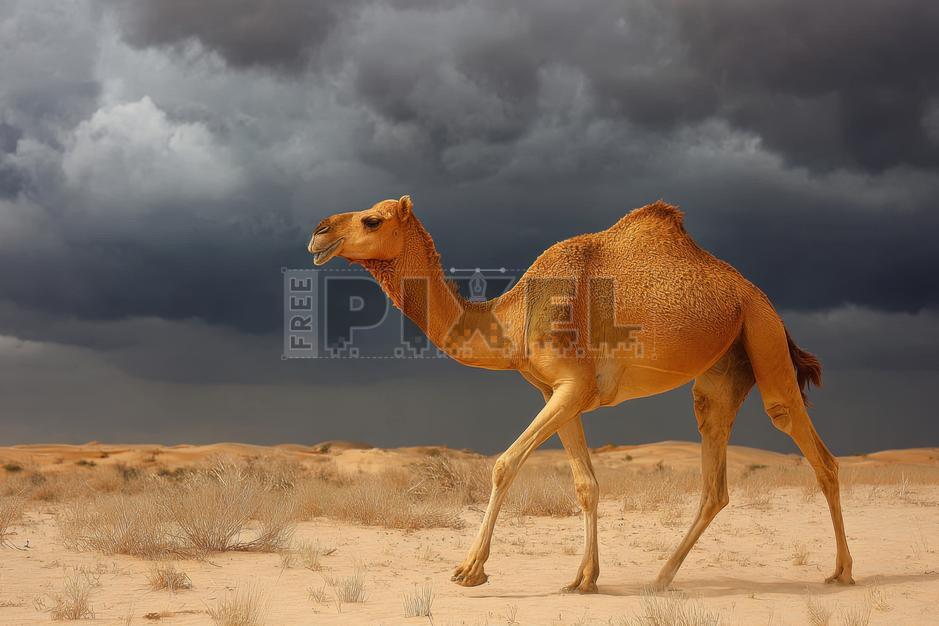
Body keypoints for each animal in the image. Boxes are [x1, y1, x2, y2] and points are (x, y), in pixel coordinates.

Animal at [308, 195, 854, 593]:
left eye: (371, 219)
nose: (319, 230)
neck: (512, 319)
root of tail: (758, 296)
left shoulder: (573, 386)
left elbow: (504, 464)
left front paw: (469, 570)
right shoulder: (559, 393)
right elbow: (586, 483)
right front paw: (584, 578)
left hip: (762, 332)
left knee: (811, 445)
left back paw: (842, 571)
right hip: (723, 367)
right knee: (714, 477)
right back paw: (662, 576)